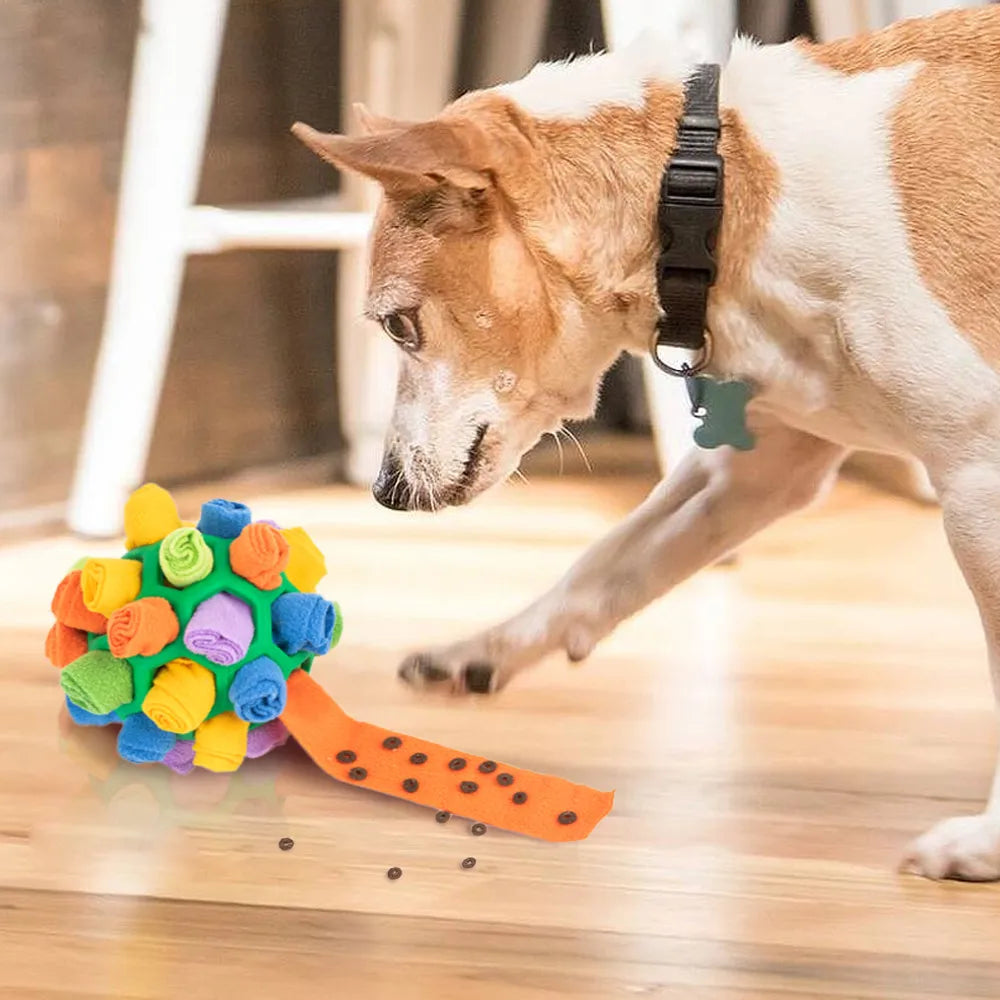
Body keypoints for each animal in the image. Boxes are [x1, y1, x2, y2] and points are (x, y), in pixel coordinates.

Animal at [296, 9, 1000, 884]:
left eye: (397, 325)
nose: (385, 489)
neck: (714, 189)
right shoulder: (765, 466)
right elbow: (612, 559)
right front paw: (483, 650)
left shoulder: (979, 486)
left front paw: (985, 842)